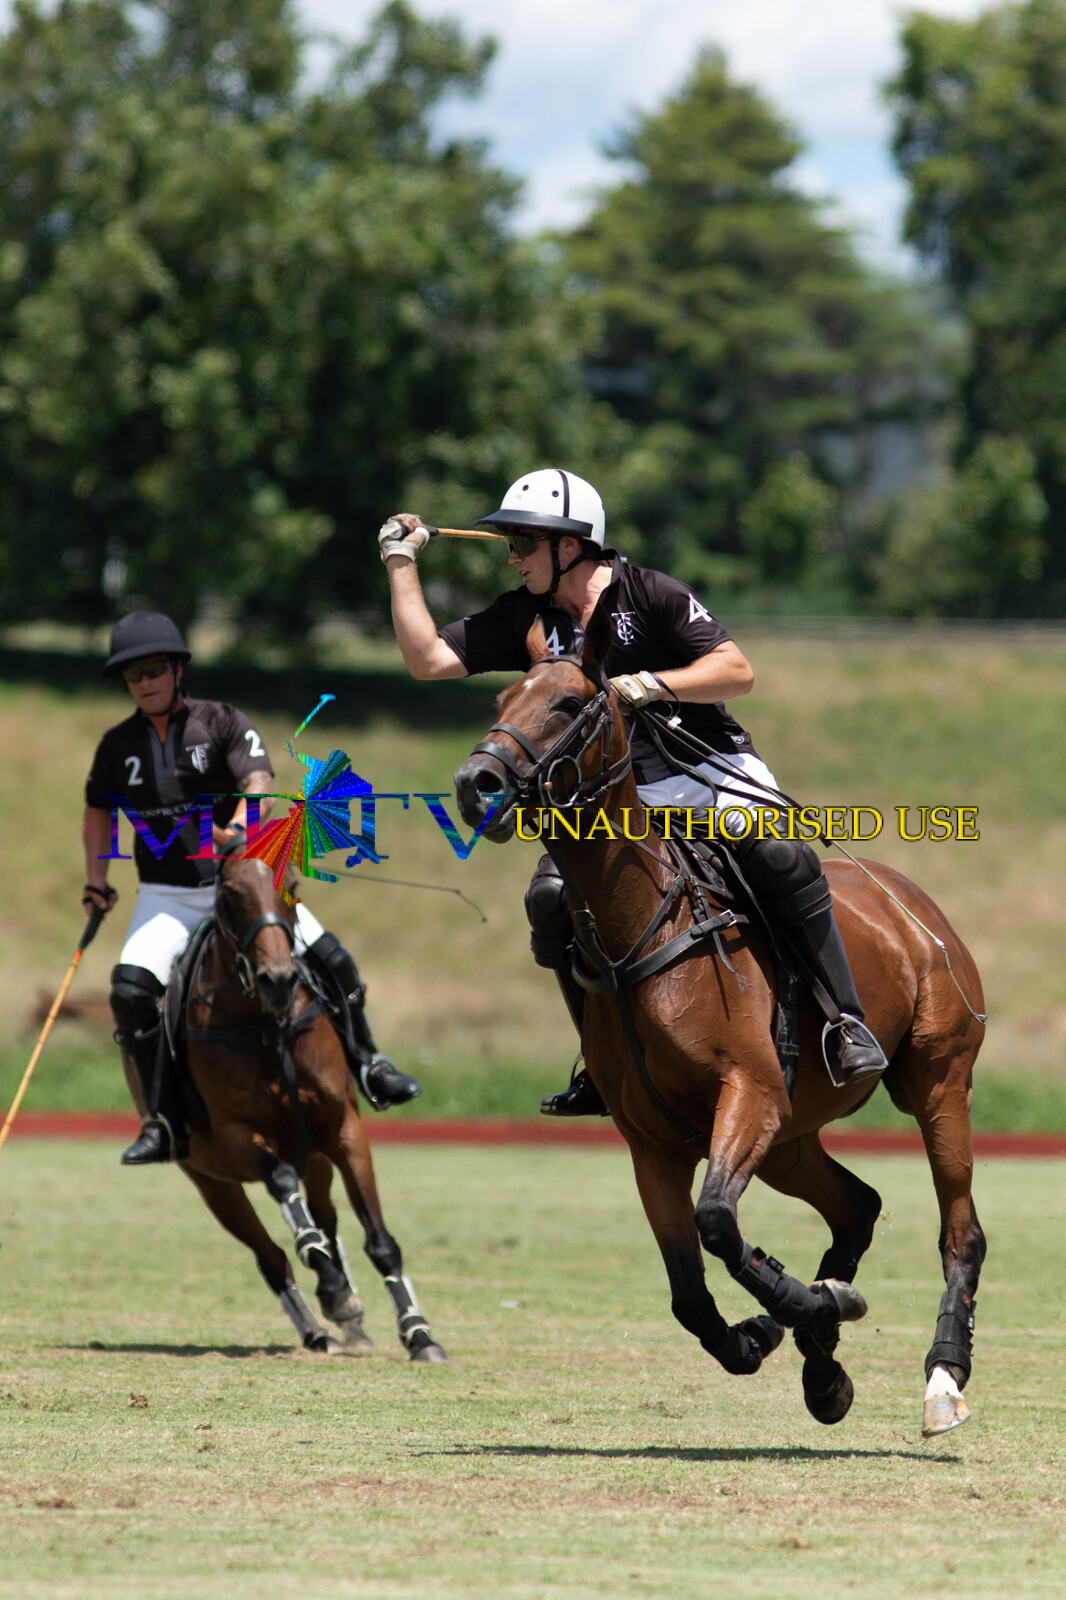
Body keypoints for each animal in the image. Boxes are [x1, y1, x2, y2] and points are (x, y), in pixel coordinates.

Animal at [154, 853, 446, 1362]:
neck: (265, 1025)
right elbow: (288, 1199)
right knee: (272, 1256)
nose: (278, 979)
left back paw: (349, 1316)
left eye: (291, 884)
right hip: (212, 1181)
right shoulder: (238, 1134)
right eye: (229, 894)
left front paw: (419, 1333)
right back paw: (318, 1326)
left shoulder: (344, 1128)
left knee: (326, 1218)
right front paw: (332, 1287)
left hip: (316, 1155)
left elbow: (380, 1242)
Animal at [453, 614, 985, 1435]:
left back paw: (942, 1378)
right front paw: (788, 1327)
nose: (474, 783)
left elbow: (717, 1224)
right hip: (791, 1136)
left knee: (961, 1230)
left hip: (937, 1081)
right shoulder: (654, 1143)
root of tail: (916, 907)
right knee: (858, 1206)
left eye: (569, 702)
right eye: (503, 696)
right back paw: (820, 1356)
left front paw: (803, 1307)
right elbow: (688, 1292)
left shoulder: (749, 1094)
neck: (644, 924)